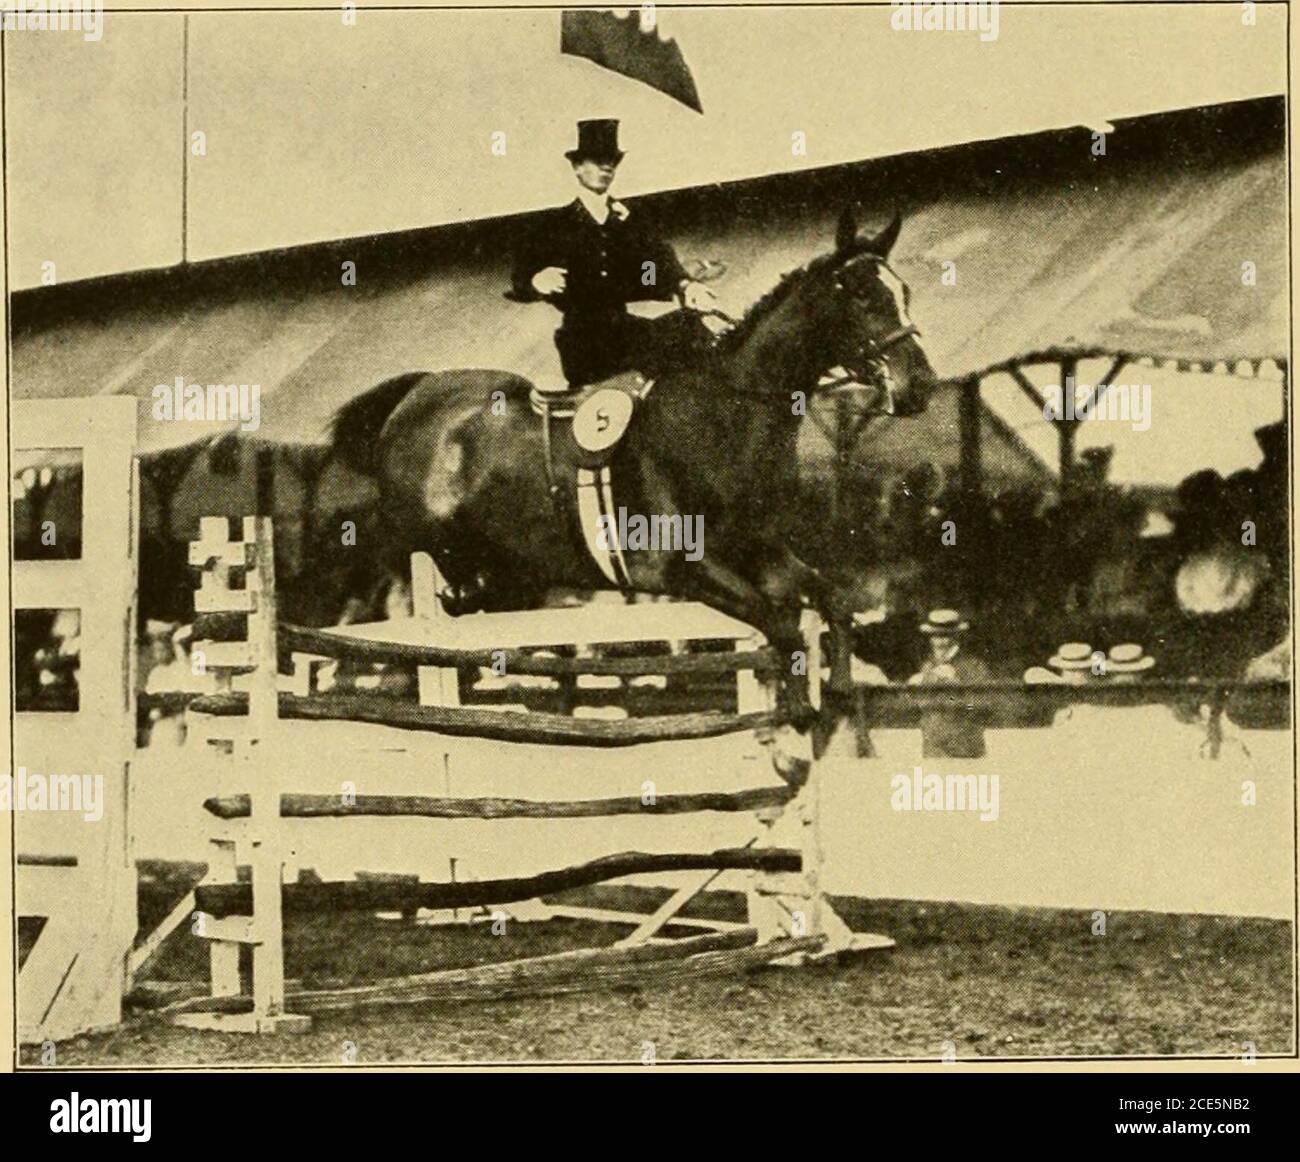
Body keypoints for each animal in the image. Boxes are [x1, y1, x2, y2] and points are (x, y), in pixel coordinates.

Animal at [325, 209, 935, 727]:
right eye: (861, 296)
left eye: (904, 293)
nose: (920, 386)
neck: (722, 418)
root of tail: (417, 392)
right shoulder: (684, 569)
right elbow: (782, 623)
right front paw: (798, 714)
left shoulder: (762, 551)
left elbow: (830, 600)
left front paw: (838, 692)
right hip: (425, 533)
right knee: (435, 578)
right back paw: (453, 598)